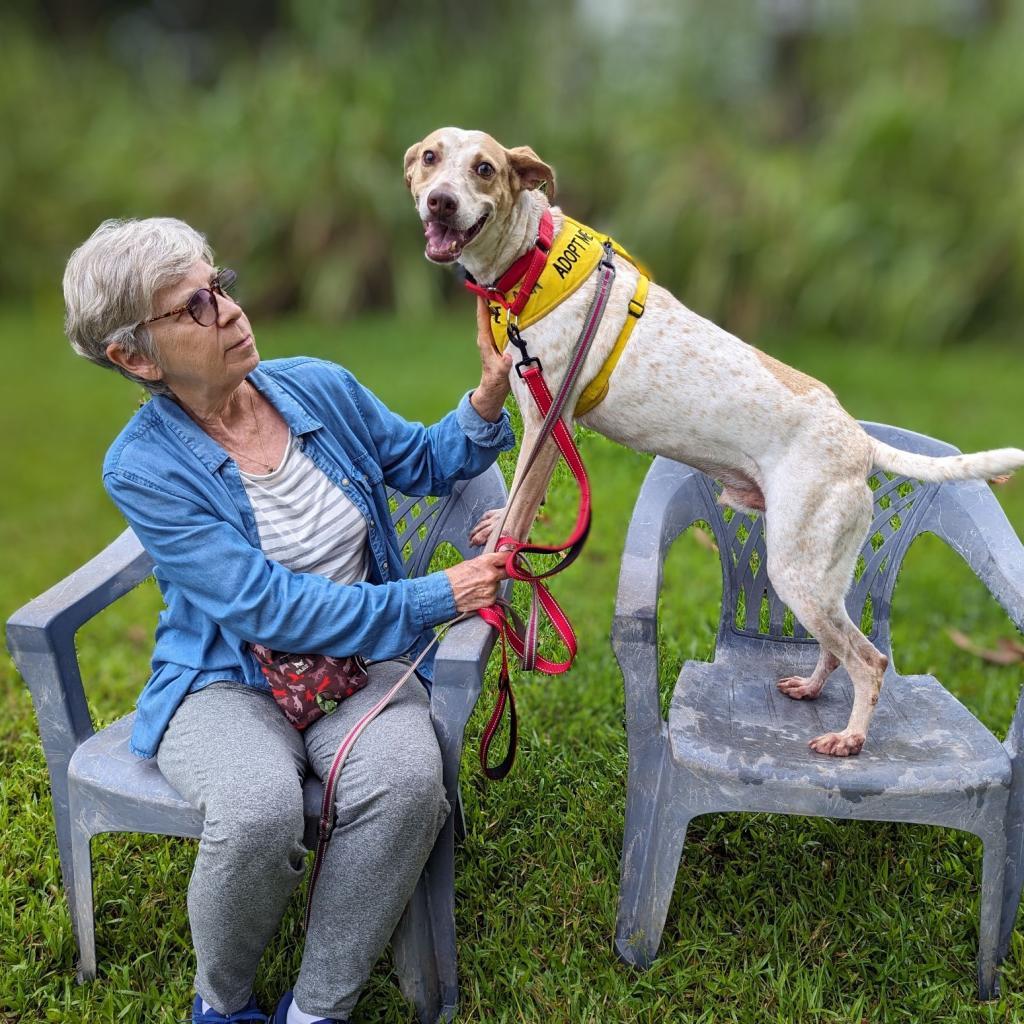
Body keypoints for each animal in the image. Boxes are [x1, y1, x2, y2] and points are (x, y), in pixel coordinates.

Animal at [403, 125, 1024, 753]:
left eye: (484, 168)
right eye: (430, 158)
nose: (441, 203)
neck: (531, 257)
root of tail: (859, 443)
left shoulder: (547, 423)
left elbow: (519, 512)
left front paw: (495, 564)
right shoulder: (539, 421)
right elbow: (519, 504)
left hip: (796, 575)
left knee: (870, 661)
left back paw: (848, 739)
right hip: (821, 576)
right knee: (838, 649)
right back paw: (811, 690)